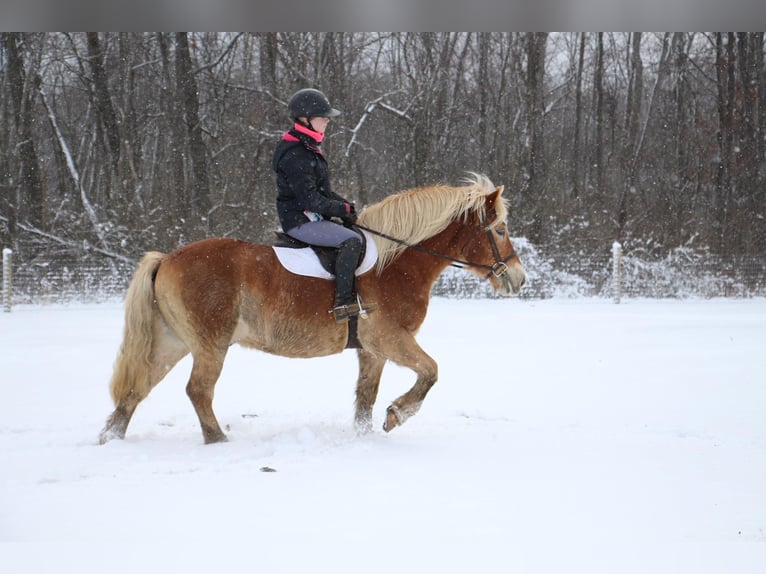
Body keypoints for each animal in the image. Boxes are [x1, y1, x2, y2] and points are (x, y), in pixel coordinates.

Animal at [99, 172, 524, 446]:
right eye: (500, 230)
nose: (518, 279)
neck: (396, 264)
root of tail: (167, 258)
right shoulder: (390, 339)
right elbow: (431, 372)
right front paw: (398, 414)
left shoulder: (372, 350)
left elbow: (365, 396)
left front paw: (366, 436)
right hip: (210, 344)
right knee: (198, 390)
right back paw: (216, 440)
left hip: (172, 342)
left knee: (138, 387)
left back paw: (112, 437)